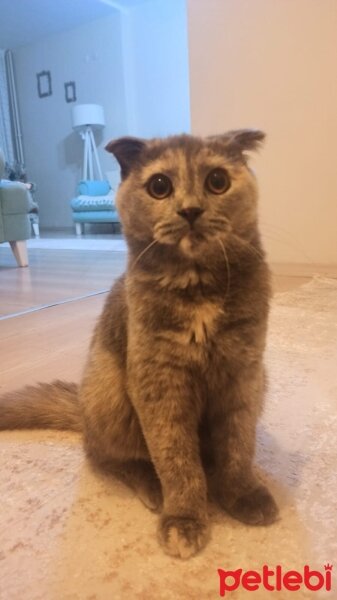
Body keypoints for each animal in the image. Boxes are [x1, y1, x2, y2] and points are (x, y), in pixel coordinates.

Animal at [0, 130, 278, 556]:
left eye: (217, 181)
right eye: (159, 186)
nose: (191, 210)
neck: (198, 288)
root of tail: (82, 407)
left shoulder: (243, 372)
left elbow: (237, 444)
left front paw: (242, 494)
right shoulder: (159, 381)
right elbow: (176, 458)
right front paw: (184, 519)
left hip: (262, 380)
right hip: (109, 388)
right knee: (106, 456)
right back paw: (153, 488)